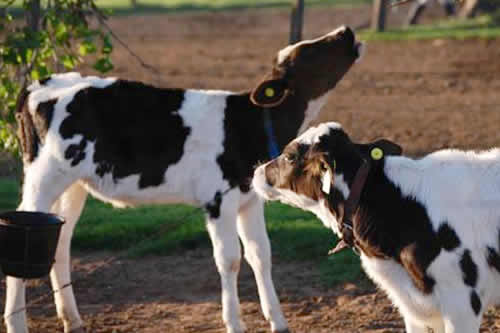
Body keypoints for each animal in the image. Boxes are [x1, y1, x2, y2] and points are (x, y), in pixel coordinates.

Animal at [7, 27, 364, 330]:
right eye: (308, 52)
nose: (346, 31)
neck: (248, 123)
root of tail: (41, 83)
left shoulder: (249, 200)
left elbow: (260, 255)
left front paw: (278, 321)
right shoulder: (218, 200)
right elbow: (230, 260)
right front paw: (234, 323)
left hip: (74, 185)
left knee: (61, 240)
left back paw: (72, 318)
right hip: (43, 177)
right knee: (24, 233)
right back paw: (16, 323)